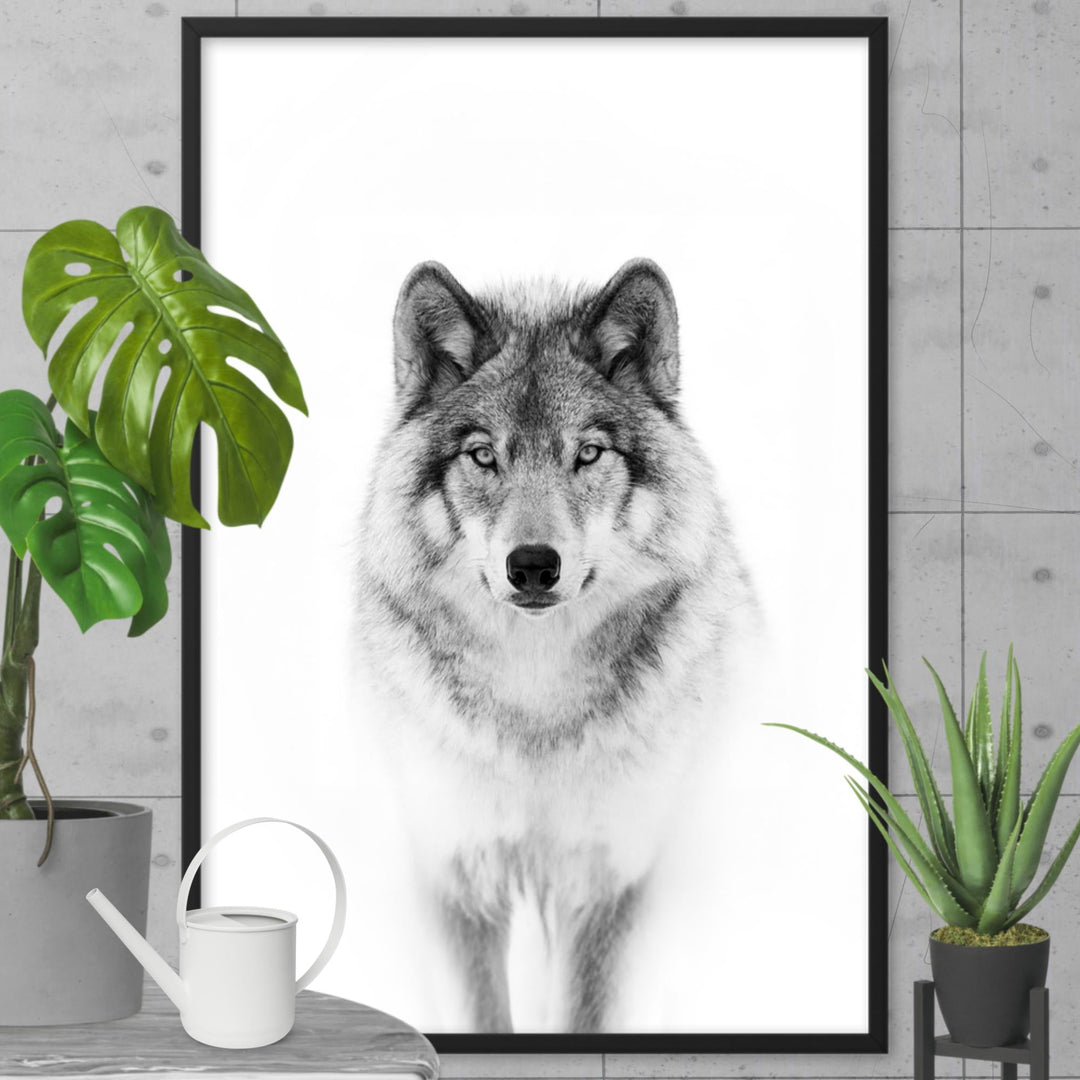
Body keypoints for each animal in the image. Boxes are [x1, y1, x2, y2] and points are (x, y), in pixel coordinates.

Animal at [353, 258, 759, 1033]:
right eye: (484, 456)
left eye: (588, 454)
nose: (534, 566)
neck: (534, 702)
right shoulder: (458, 876)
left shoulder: (609, 882)